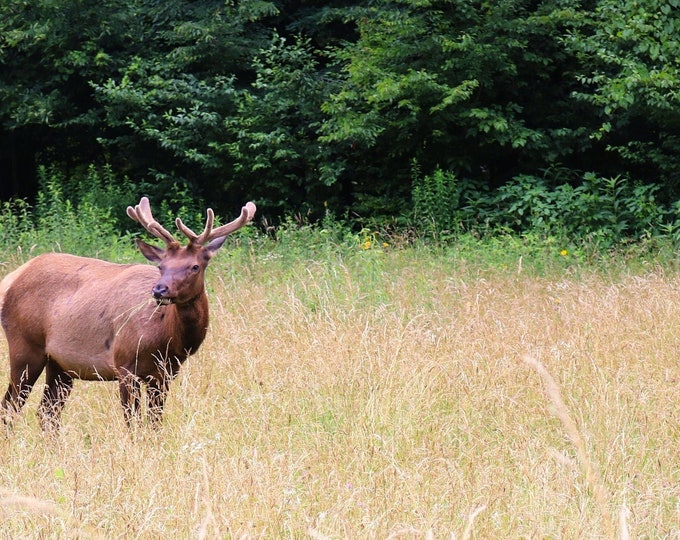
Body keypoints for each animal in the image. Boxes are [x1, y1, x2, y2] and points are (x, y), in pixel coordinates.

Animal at [0, 196, 255, 428]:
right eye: (161, 266)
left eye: (194, 266)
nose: (159, 290)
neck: (166, 339)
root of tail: (11, 279)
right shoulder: (124, 365)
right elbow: (133, 422)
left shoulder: (164, 374)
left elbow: (155, 422)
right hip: (25, 346)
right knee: (10, 407)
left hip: (60, 364)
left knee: (47, 412)